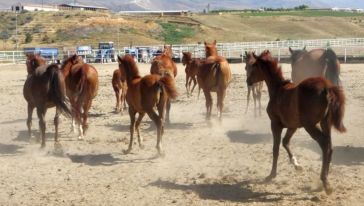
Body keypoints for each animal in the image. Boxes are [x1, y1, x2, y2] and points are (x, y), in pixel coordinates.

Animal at [246, 51, 346, 195]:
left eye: (253, 66)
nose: (248, 81)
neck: (278, 89)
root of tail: (326, 87)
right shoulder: (293, 126)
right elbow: (285, 142)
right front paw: (297, 165)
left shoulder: (275, 124)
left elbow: (275, 149)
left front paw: (271, 175)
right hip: (325, 123)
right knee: (330, 146)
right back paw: (325, 179)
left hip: (310, 126)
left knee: (324, 144)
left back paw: (325, 182)